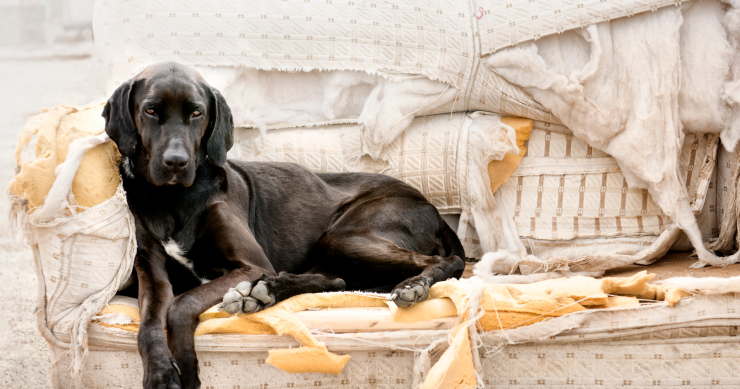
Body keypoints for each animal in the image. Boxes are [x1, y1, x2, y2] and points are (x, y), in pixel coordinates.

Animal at [102, 62, 462, 388]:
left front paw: (188, 370)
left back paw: (413, 286)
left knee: (447, 261)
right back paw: (264, 294)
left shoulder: (251, 265)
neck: (173, 199)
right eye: (150, 110)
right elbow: (150, 320)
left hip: (344, 236)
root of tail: (432, 208)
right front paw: (161, 373)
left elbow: (182, 303)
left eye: (196, 113)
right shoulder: (152, 270)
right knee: (336, 280)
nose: (176, 163)